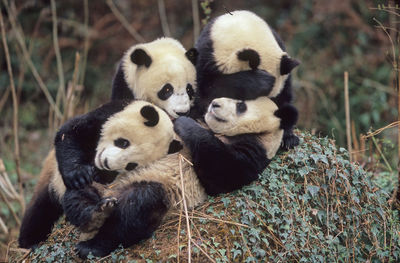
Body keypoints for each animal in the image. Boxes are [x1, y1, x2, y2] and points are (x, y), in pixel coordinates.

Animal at [18, 100, 181, 251]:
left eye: (131, 165)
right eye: (123, 143)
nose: (106, 163)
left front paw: (99, 174)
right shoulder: (105, 115)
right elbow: (70, 132)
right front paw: (78, 174)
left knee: (137, 206)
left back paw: (95, 232)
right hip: (52, 177)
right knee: (42, 208)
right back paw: (30, 242)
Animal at [59, 96, 296, 258]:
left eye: (241, 106)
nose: (214, 104)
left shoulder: (255, 152)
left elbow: (221, 176)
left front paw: (186, 127)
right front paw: (77, 172)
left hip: (162, 194)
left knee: (138, 207)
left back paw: (93, 244)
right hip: (102, 185)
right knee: (77, 195)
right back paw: (93, 212)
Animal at [193, 9, 300, 151]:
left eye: (272, 100)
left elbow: (285, 97)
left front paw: (288, 138)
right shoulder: (206, 56)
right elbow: (204, 93)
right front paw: (258, 82)